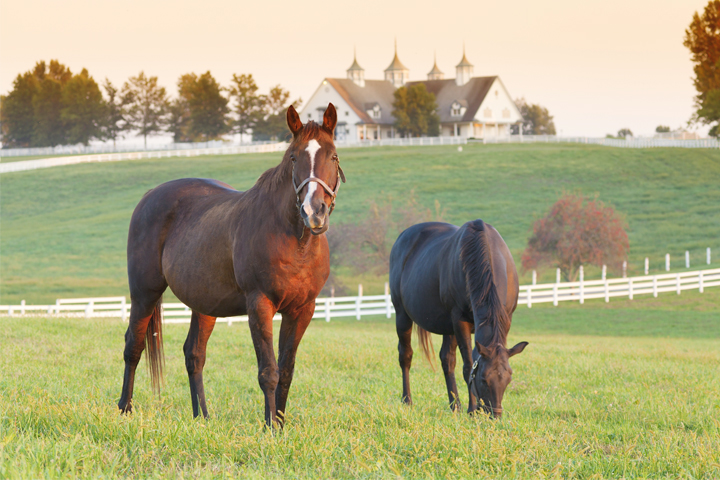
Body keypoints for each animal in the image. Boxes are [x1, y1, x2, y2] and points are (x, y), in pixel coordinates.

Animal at [118, 103, 345, 427]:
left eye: (333, 156)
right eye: (293, 157)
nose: (314, 212)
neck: (294, 241)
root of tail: (149, 196)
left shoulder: (302, 310)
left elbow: (286, 371)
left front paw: (280, 424)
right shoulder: (259, 304)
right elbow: (268, 371)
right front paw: (269, 428)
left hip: (204, 304)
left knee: (194, 354)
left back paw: (202, 416)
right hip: (144, 294)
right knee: (133, 346)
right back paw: (125, 408)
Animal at [389, 219, 528, 418]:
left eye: (508, 378)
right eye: (483, 379)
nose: (495, 415)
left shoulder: (504, 320)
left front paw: (470, 407)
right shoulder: (460, 321)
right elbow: (468, 366)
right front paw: (472, 409)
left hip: (448, 327)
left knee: (447, 360)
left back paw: (455, 405)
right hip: (402, 315)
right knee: (405, 355)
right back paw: (407, 400)